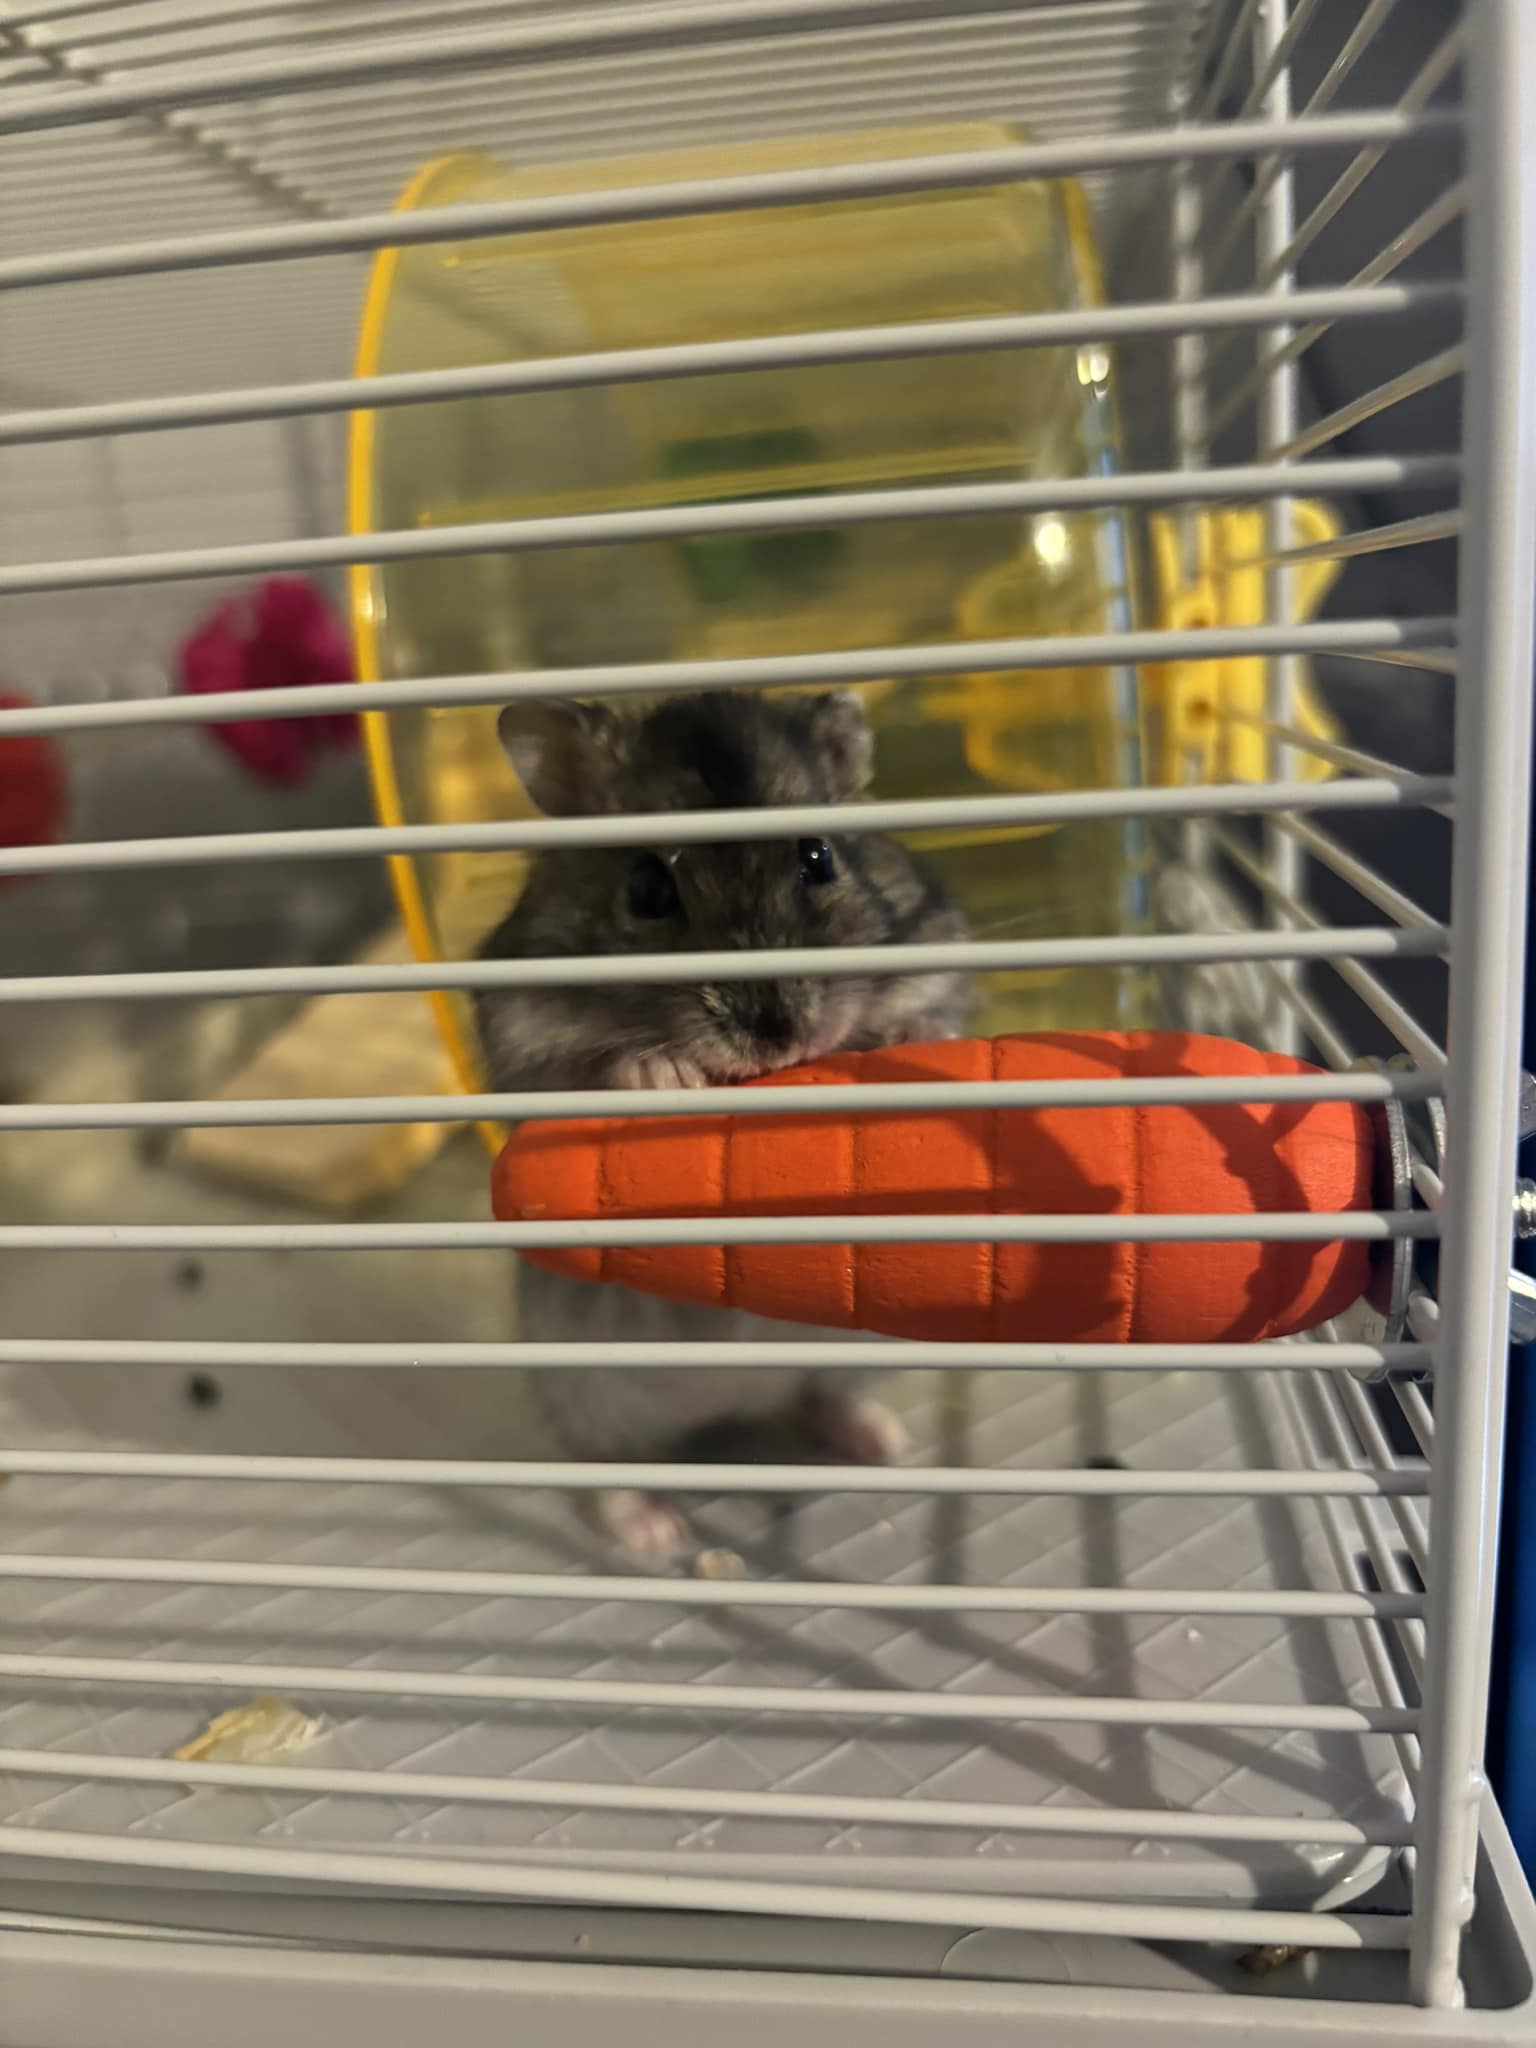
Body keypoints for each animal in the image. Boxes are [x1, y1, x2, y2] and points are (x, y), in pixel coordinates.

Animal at [474, 687, 973, 1559]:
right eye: (646, 888)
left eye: (819, 858)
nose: (777, 1034)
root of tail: (735, 1402)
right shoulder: (521, 1038)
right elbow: (589, 1073)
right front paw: (662, 1072)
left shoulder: (938, 956)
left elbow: (934, 1015)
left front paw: (913, 1040)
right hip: (581, 1382)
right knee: (606, 1465)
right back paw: (654, 1532)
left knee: (820, 1397)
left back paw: (881, 1441)